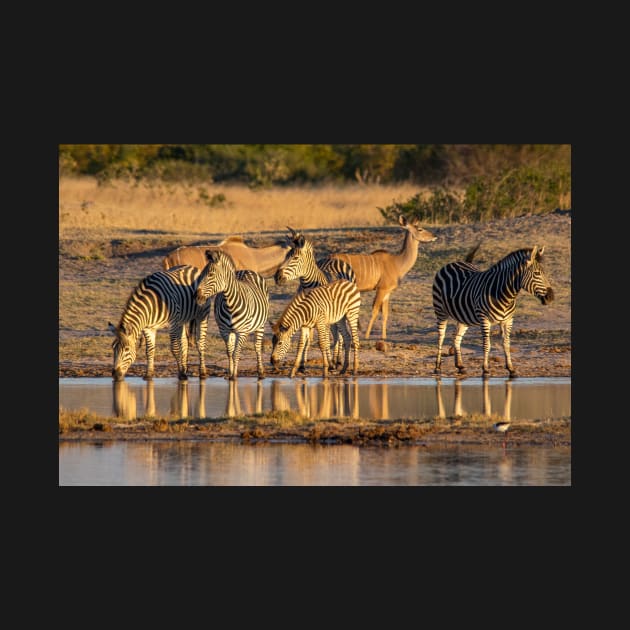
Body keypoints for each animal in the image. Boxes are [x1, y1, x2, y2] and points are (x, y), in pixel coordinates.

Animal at [195, 251, 270, 380]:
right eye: (201, 274)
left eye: (210, 274)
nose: (196, 296)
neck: (230, 303)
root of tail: (246, 270)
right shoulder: (224, 331)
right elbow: (229, 352)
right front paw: (230, 373)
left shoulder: (242, 332)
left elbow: (236, 353)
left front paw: (234, 375)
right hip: (232, 331)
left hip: (261, 325)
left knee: (257, 346)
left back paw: (260, 371)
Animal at [276, 231, 358, 370]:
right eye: (285, 257)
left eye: (295, 258)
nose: (277, 277)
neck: (308, 285)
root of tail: (333, 259)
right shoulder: (305, 312)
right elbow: (306, 339)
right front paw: (302, 364)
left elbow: (326, 338)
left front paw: (329, 362)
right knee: (338, 333)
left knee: (338, 334)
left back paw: (337, 360)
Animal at [432, 244, 556, 378]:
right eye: (537, 273)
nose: (551, 297)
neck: (506, 295)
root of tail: (452, 263)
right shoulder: (484, 320)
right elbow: (487, 345)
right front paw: (485, 369)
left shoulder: (508, 321)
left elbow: (506, 344)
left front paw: (511, 369)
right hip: (440, 310)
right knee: (441, 336)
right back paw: (437, 367)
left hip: (464, 316)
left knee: (456, 337)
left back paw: (460, 366)